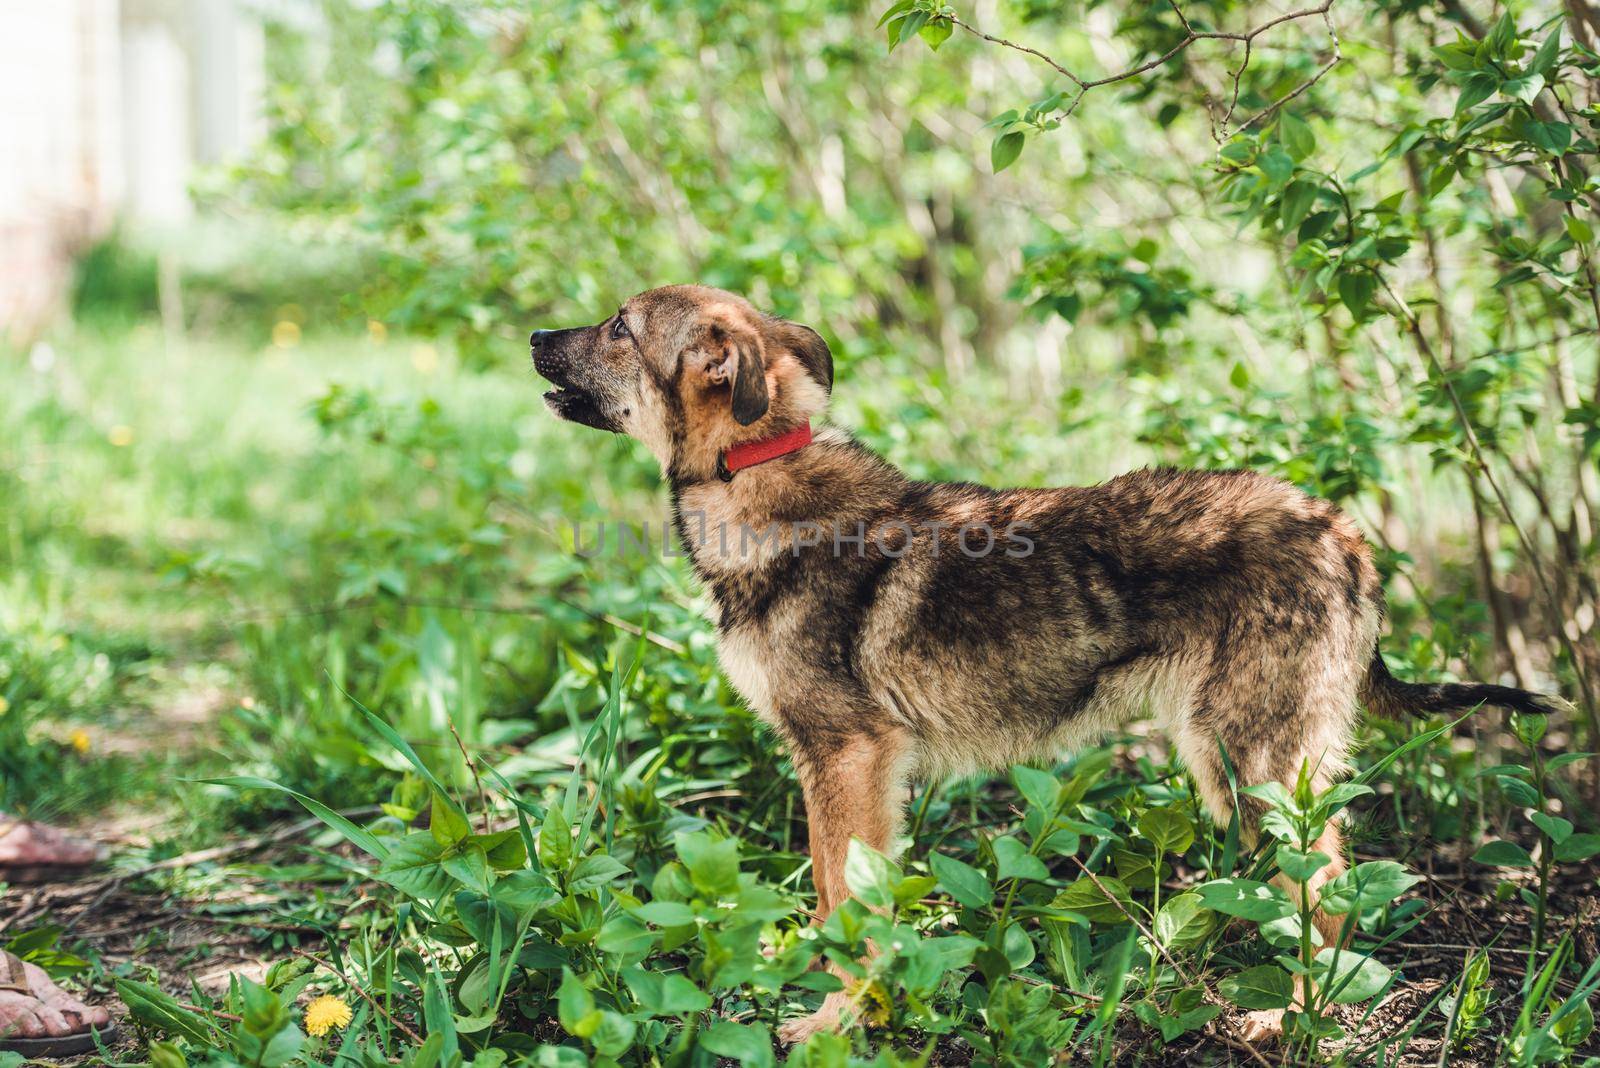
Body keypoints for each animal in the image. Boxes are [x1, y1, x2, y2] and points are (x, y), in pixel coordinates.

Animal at [531, 286, 1568, 1042]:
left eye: (620, 326)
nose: (536, 334)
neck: (752, 471)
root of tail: (1344, 532)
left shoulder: (846, 757)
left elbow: (842, 912)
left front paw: (833, 1022)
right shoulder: (841, 768)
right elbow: (840, 898)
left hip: (1251, 764)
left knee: (1329, 898)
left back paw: (1289, 1016)